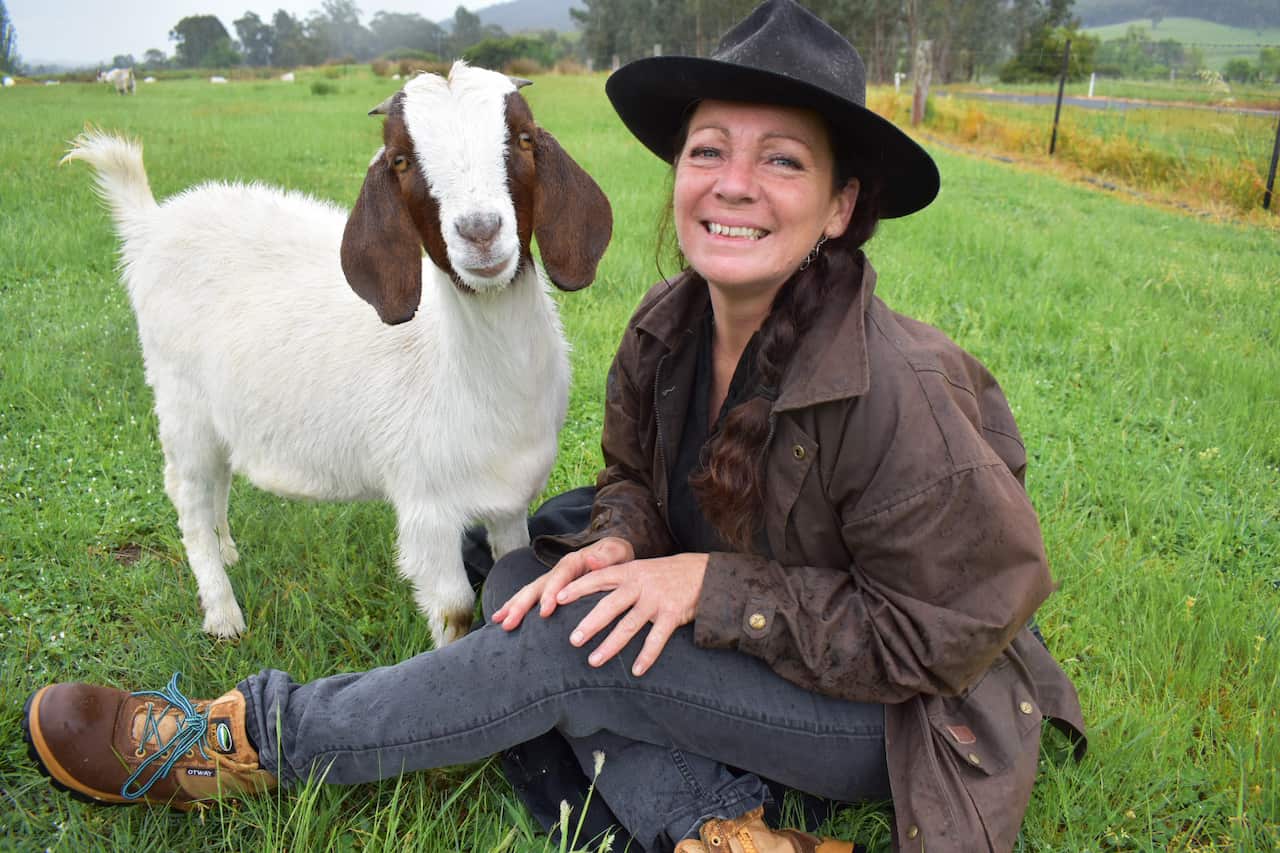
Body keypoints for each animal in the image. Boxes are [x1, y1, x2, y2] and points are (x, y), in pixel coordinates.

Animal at [64, 62, 613, 647]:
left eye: (524, 138)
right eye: (401, 160)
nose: (480, 231)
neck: (457, 363)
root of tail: (151, 225)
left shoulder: (509, 498)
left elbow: (509, 568)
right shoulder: (426, 505)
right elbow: (456, 609)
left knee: (218, 479)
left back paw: (228, 549)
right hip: (178, 398)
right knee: (188, 493)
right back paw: (223, 613)